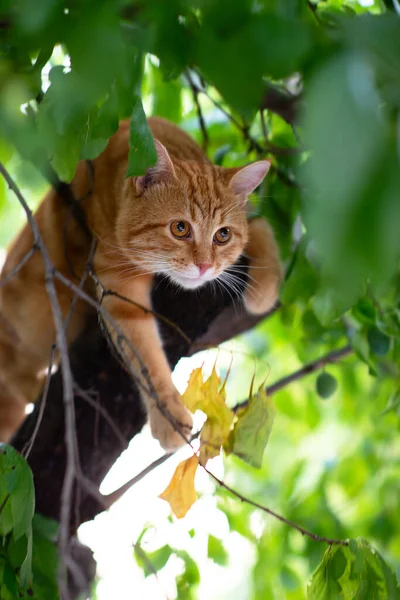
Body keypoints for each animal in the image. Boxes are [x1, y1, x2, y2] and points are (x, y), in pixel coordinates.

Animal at [0, 118, 282, 450]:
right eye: (180, 228)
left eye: (222, 235)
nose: (204, 266)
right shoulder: (120, 287)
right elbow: (146, 356)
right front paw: (167, 414)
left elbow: (261, 226)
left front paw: (264, 289)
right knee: (17, 380)